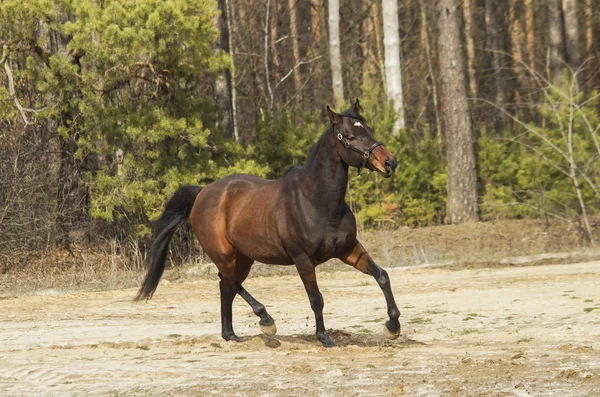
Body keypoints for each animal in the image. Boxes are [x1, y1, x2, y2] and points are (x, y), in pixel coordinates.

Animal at [134, 100, 400, 346]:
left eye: (369, 130)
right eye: (350, 136)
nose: (390, 162)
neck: (317, 200)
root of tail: (202, 193)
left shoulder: (348, 249)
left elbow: (382, 276)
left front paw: (393, 326)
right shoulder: (303, 259)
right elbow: (316, 298)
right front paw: (324, 337)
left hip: (243, 257)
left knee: (227, 286)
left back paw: (231, 335)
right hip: (224, 255)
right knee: (230, 283)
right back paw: (266, 321)